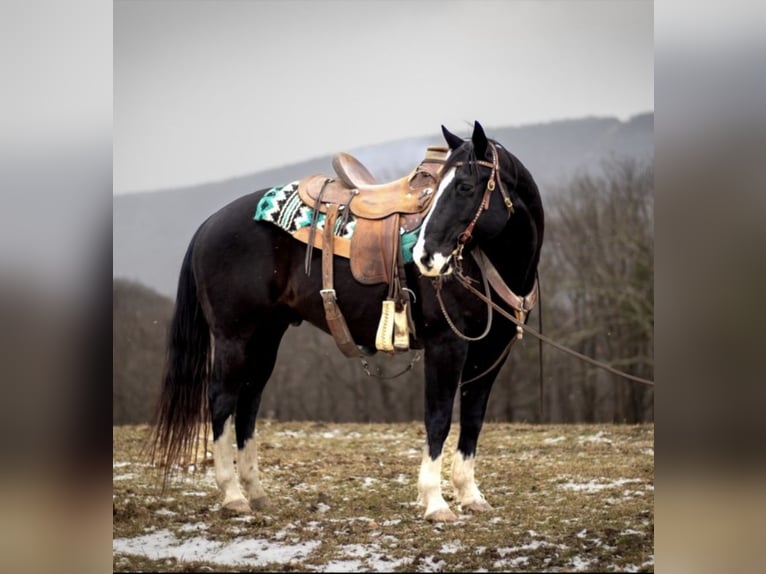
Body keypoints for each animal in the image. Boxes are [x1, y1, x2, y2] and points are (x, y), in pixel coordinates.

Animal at [150, 120, 544, 520]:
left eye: (465, 186)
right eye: (440, 190)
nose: (425, 257)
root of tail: (210, 224)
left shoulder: (491, 353)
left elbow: (474, 420)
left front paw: (470, 495)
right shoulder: (446, 346)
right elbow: (438, 419)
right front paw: (435, 502)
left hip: (265, 337)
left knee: (248, 403)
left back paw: (257, 493)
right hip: (235, 337)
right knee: (222, 400)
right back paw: (232, 495)